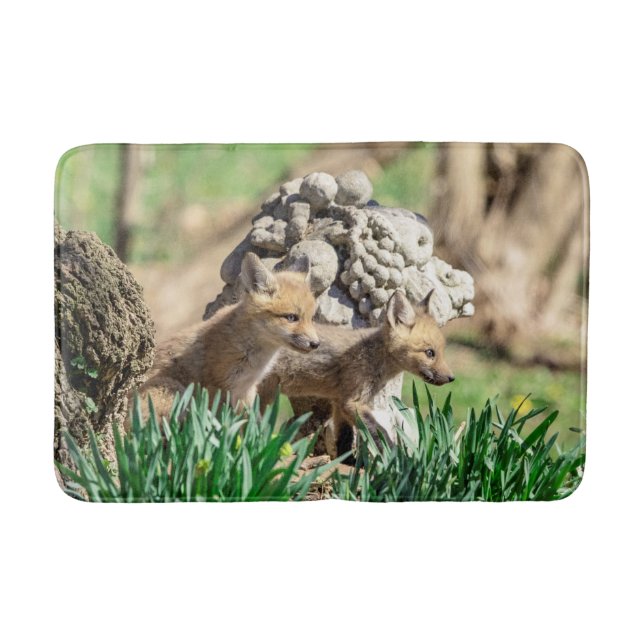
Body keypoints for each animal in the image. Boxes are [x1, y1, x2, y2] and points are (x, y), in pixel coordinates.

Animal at [133, 252, 319, 421]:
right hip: (173, 390)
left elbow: (250, 424)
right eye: (291, 317)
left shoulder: (247, 388)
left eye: (311, 318)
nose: (315, 344)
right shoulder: (217, 387)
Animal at [259, 289, 454, 457]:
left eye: (441, 351)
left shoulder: (339, 402)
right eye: (430, 353)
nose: (452, 378)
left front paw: (345, 463)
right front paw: (397, 458)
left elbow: (344, 439)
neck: (374, 356)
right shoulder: (352, 402)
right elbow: (379, 432)